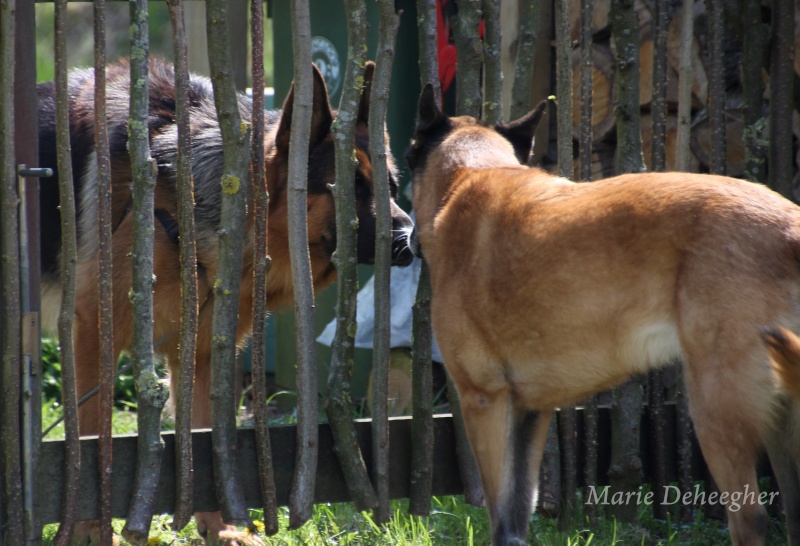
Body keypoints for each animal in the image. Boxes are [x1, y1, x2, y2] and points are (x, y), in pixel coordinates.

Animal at [410, 82, 800, 544]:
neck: (469, 174)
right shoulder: (529, 413)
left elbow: (500, 519)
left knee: (749, 518)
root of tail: (791, 227)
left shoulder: (484, 400)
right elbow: (515, 522)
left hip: (716, 407)